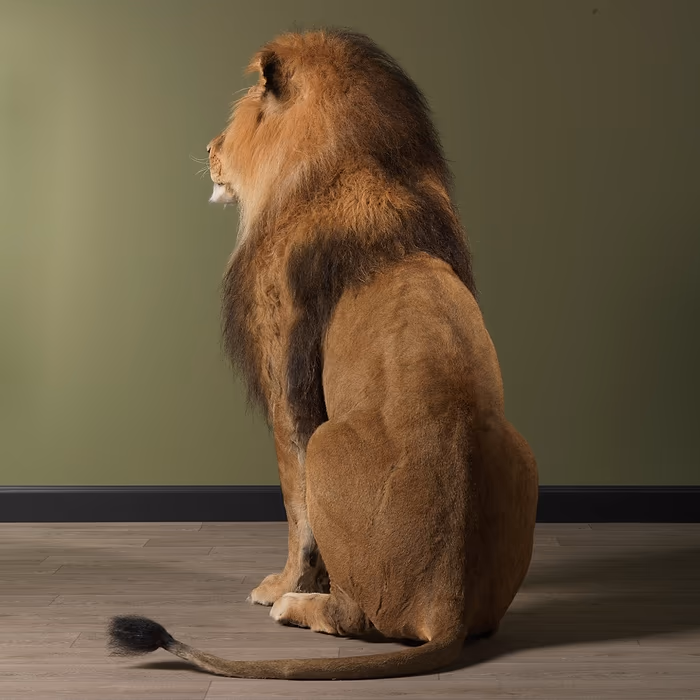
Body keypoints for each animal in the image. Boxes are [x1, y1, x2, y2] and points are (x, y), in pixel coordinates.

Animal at [109, 28, 538, 680]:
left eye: (241, 118)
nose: (208, 148)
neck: (348, 163)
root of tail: (450, 603)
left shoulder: (285, 383)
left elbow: (296, 510)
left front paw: (280, 584)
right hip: (525, 458)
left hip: (331, 442)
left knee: (360, 618)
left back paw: (296, 606)